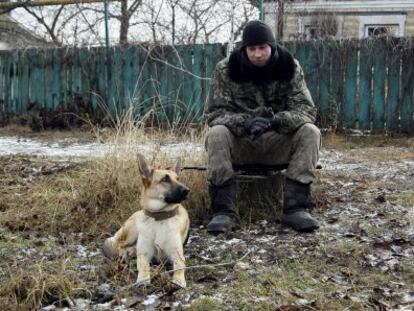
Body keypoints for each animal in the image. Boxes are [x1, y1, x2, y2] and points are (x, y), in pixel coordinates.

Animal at [102, 155, 190, 288]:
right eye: (165, 179)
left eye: (178, 179)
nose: (187, 190)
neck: (159, 217)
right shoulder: (144, 254)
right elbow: (143, 266)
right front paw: (143, 279)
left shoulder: (177, 255)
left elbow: (179, 266)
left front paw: (178, 280)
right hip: (132, 230)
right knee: (118, 244)